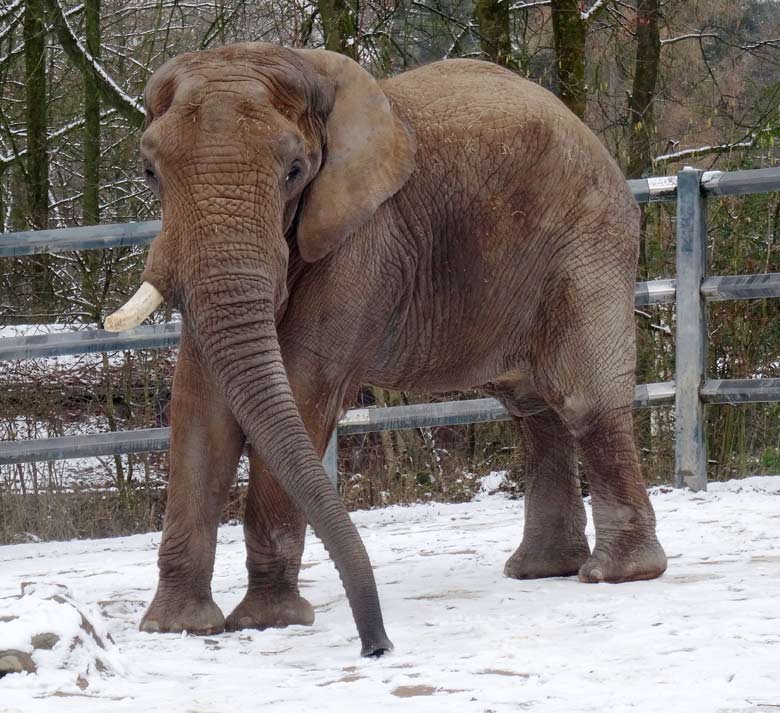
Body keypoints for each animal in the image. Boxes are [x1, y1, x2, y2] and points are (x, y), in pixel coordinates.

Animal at [103, 43, 664, 656]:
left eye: (294, 172)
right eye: (150, 172)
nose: (378, 646)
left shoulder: (366, 238)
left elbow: (301, 389)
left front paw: (268, 621)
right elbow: (199, 404)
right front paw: (175, 627)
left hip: (589, 240)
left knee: (583, 401)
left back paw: (616, 574)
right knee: (532, 409)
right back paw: (540, 570)